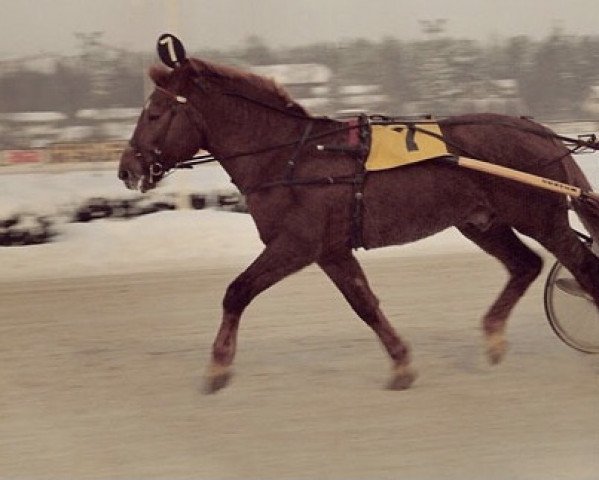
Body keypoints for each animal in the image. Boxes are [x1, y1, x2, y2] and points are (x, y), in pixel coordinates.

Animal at [119, 47, 599, 392]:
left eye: (155, 112)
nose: (127, 168)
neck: (291, 156)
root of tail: (539, 130)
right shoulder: (330, 249)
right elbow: (363, 302)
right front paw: (401, 363)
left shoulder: (296, 243)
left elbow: (237, 291)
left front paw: (217, 368)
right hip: (481, 221)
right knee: (526, 265)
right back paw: (493, 336)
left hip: (540, 217)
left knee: (582, 266)